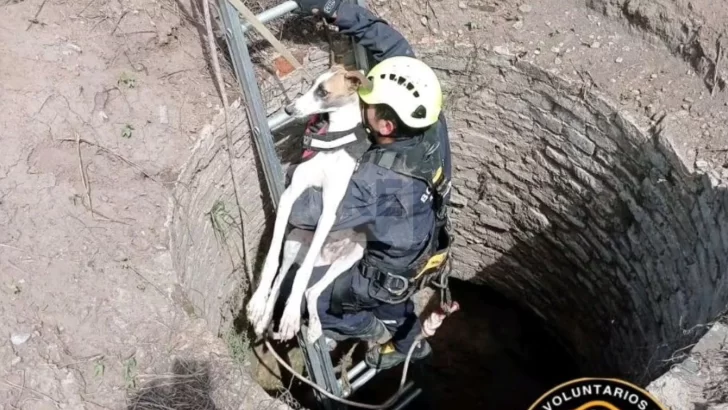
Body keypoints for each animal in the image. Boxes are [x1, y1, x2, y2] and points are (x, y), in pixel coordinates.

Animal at [249, 65, 372, 344]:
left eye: (323, 92)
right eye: (312, 84)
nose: (288, 109)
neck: (332, 146)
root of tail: (324, 259)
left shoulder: (328, 213)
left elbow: (302, 276)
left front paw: (291, 316)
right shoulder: (290, 195)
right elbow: (271, 261)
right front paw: (258, 302)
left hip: (355, 251)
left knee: (310, 289)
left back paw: (312, 324)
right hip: (295, 241)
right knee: (282, 277)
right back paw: (265, 315)